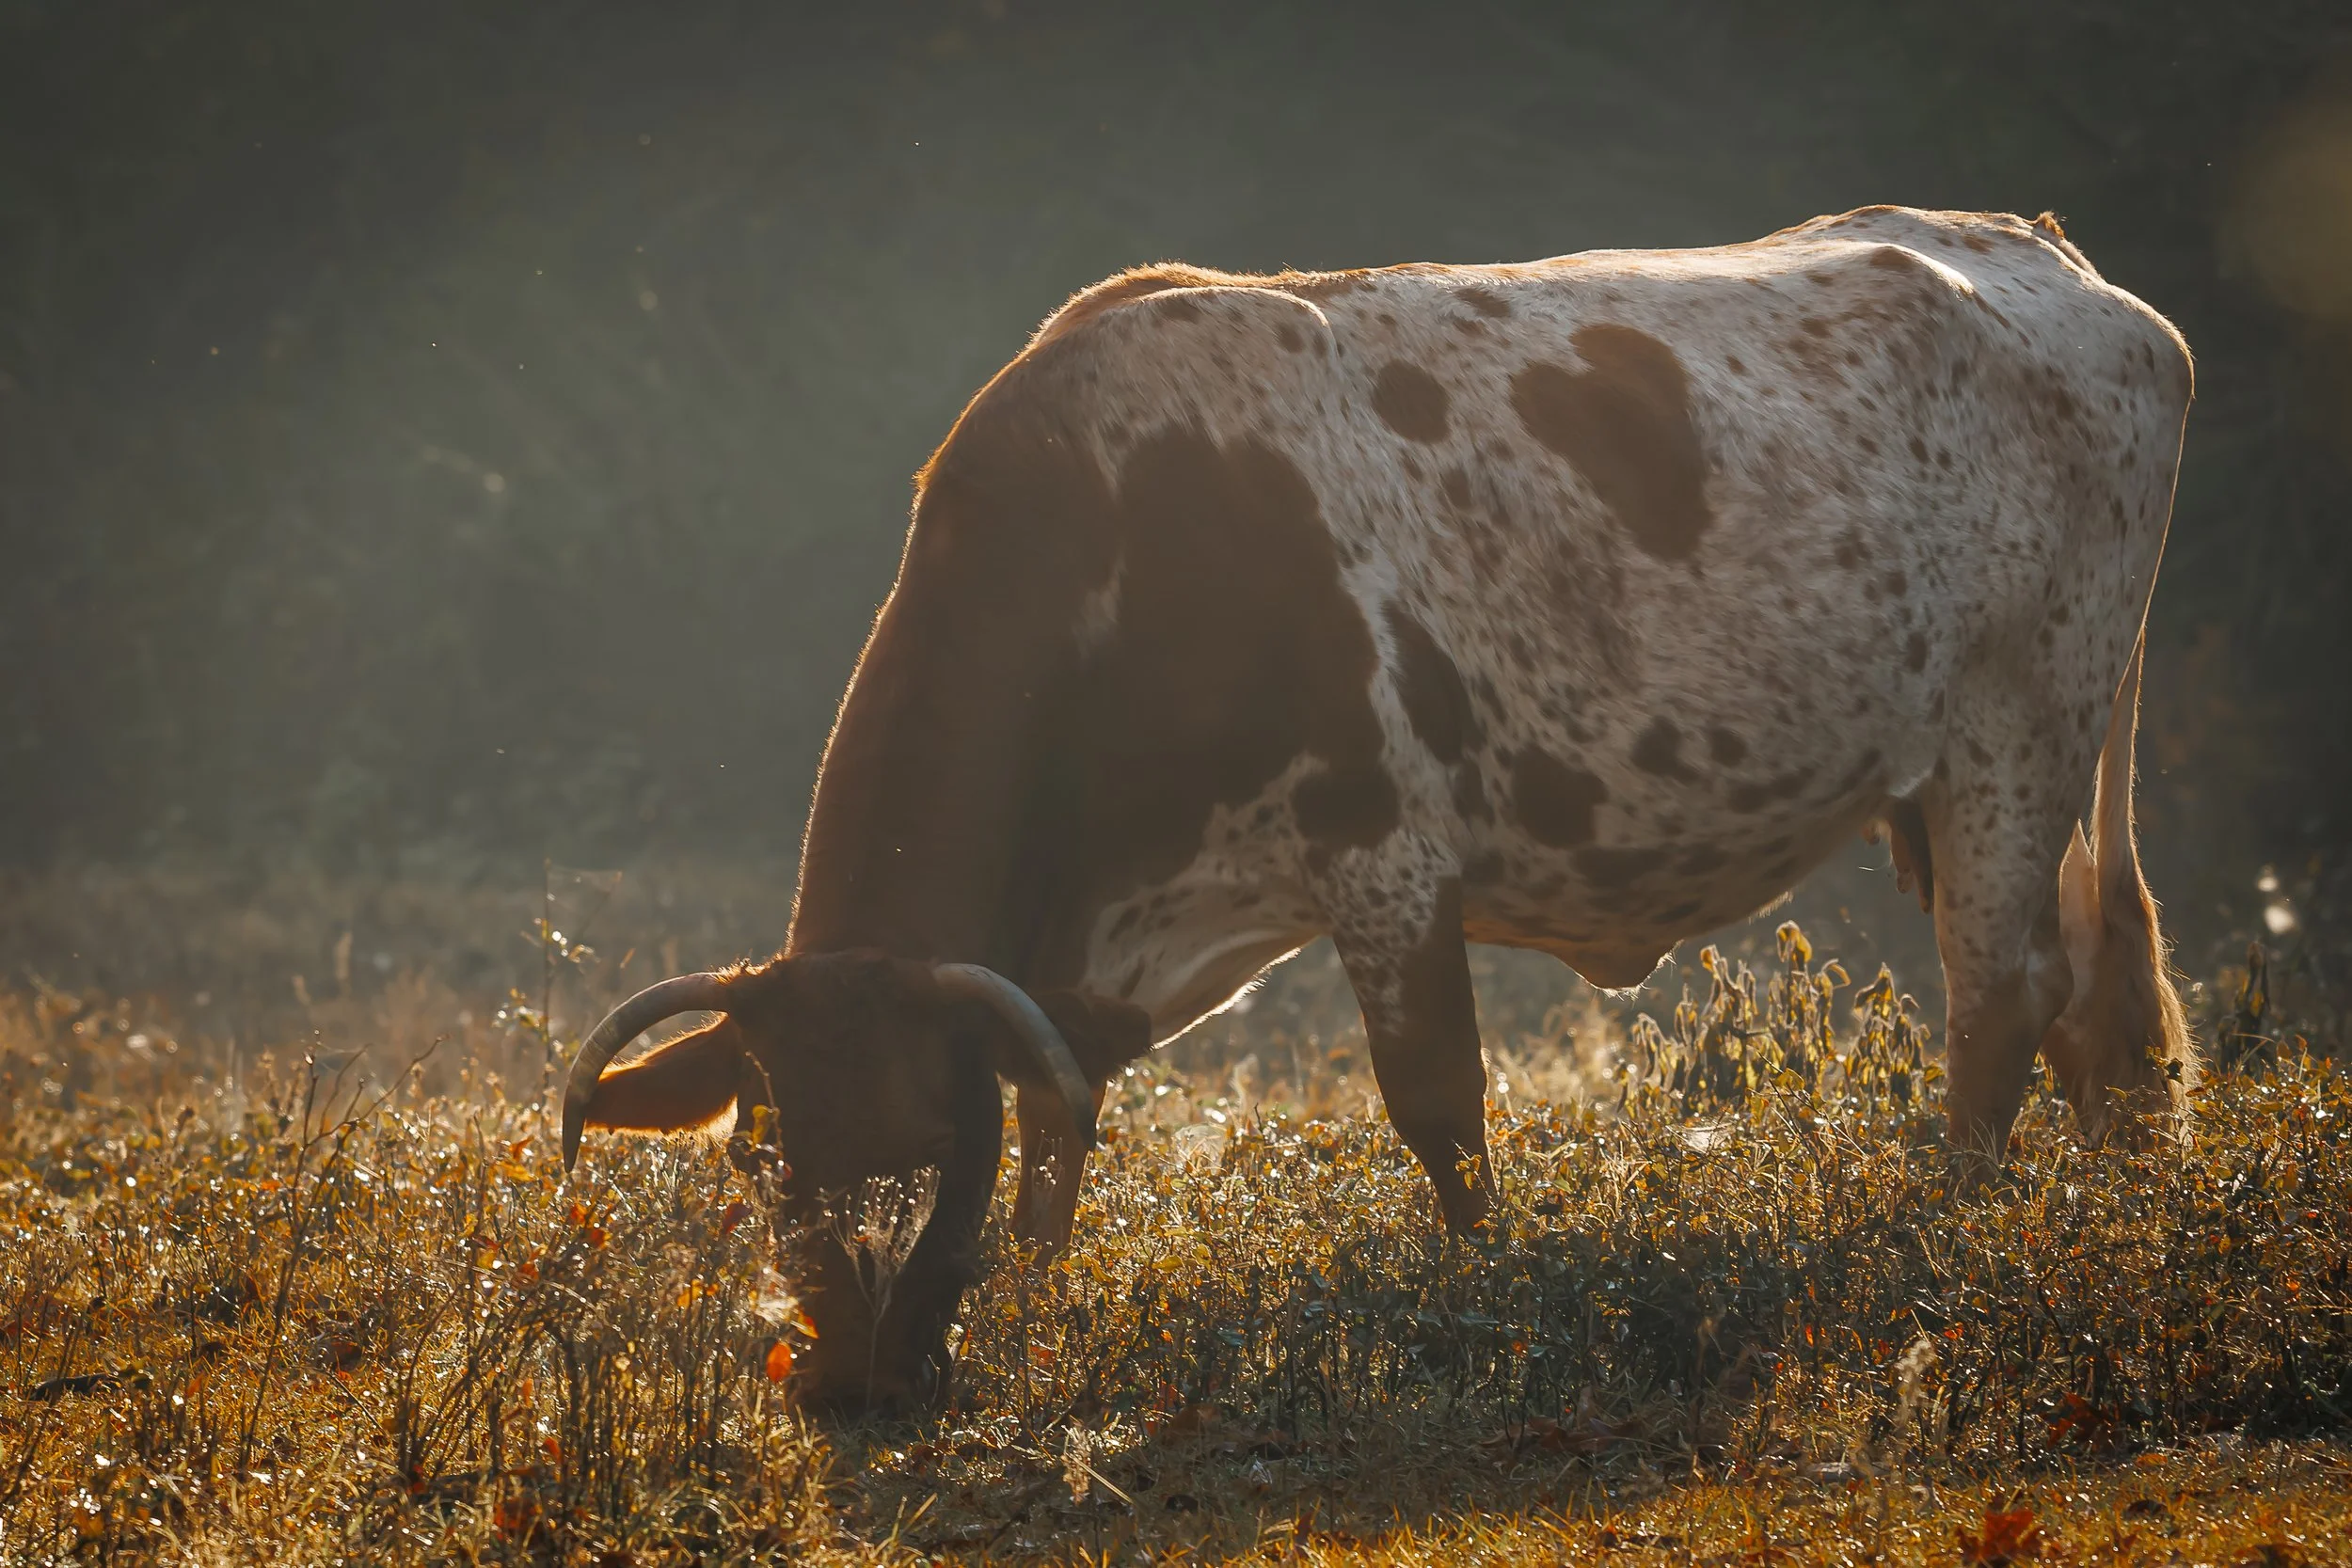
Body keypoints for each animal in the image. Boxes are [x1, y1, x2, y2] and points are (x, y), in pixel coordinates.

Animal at [560, 206, 2195, 1414]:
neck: (1112, 544)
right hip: (1984, 771)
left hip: (2018, 723)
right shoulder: (1081, 961)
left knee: (1999, 994)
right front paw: (1031, 1305)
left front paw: (1491, 1303)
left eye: (920, 1141)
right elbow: (1055, 1127)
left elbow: (1437, 1105)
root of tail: (2049, 258)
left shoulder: (1382, 852)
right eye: (764, 1158)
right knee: (2089, 1005)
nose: (847, 1382)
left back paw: (1945, 1226)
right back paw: (2092, 1220)